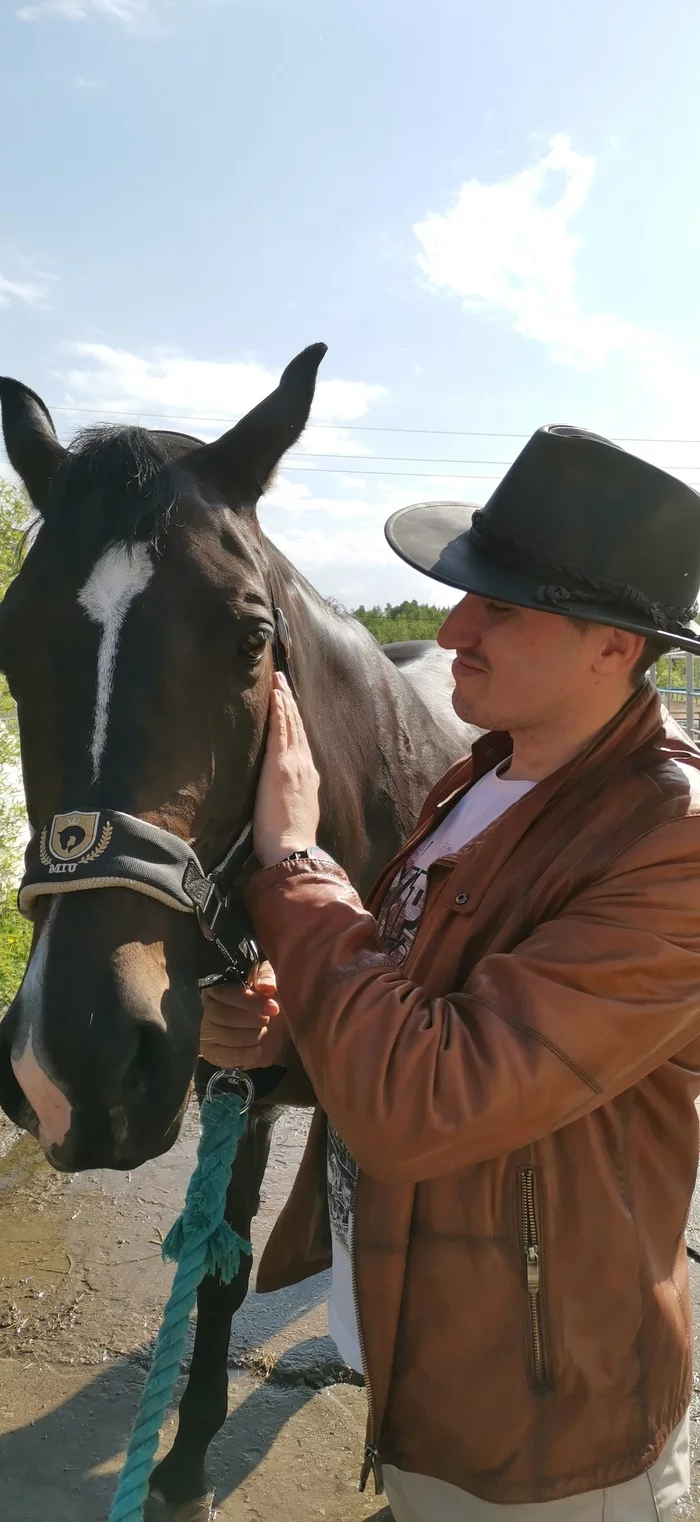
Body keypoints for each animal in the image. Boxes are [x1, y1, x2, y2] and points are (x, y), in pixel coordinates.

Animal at [0, 348, 474, 1522]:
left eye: (252, 638)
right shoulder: (237, 1087)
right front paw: (181, 1460)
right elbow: (221, 1260)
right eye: (9, 641)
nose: (73, 1063)